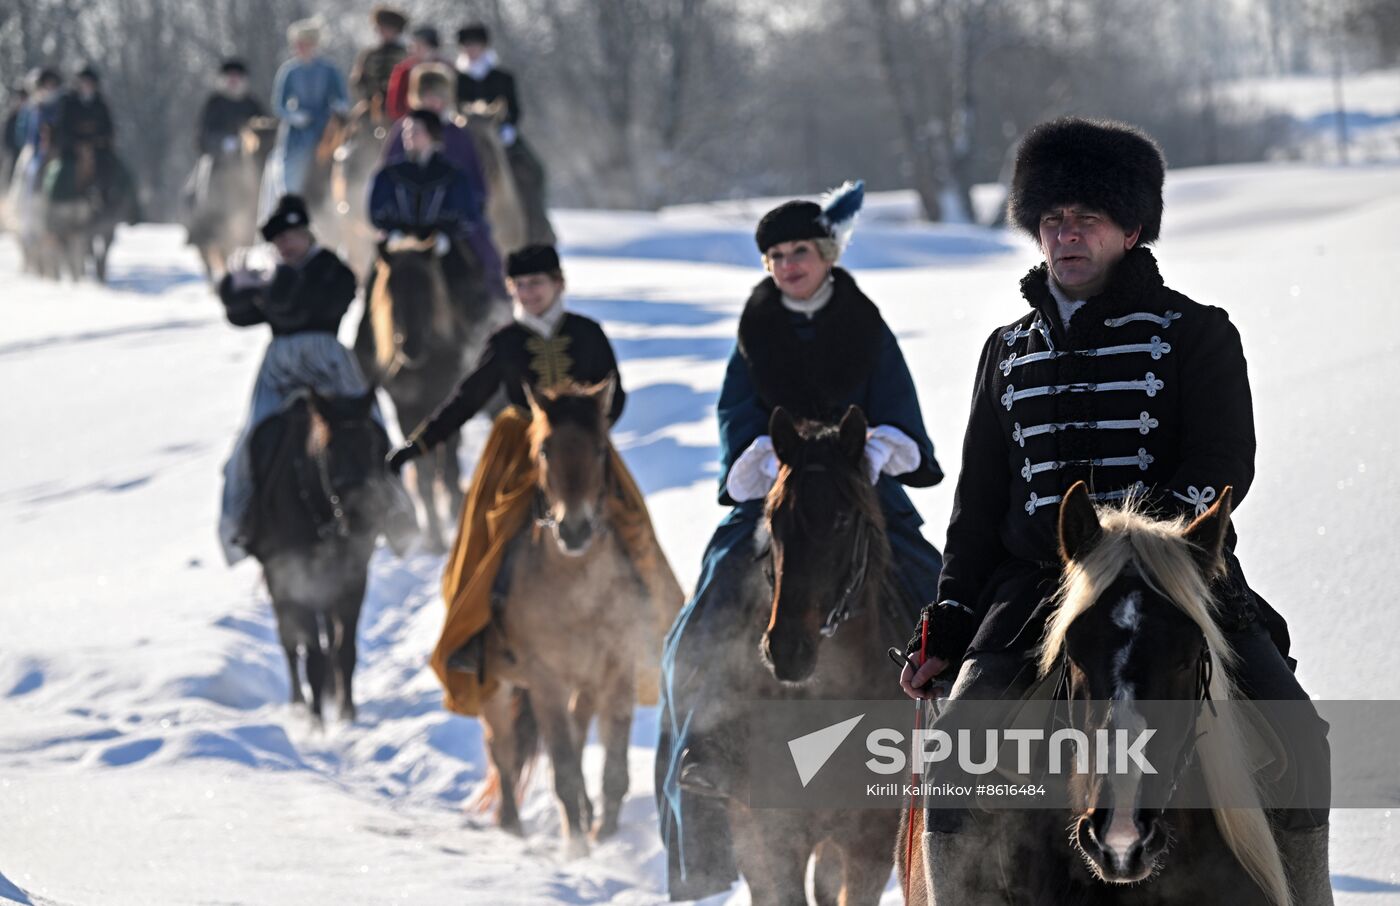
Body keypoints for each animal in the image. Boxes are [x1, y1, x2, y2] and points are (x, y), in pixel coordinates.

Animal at [478, 380, 652, 856]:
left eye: (600, 448)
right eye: (543, 450)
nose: (574, 530)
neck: (575, 593)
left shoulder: (618, 667)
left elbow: (613, 764)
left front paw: (603, 830)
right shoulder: (545, 680)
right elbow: (562, 766)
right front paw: (577, 844)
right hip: (495, 686)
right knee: (501, 748)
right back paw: (512, 823)